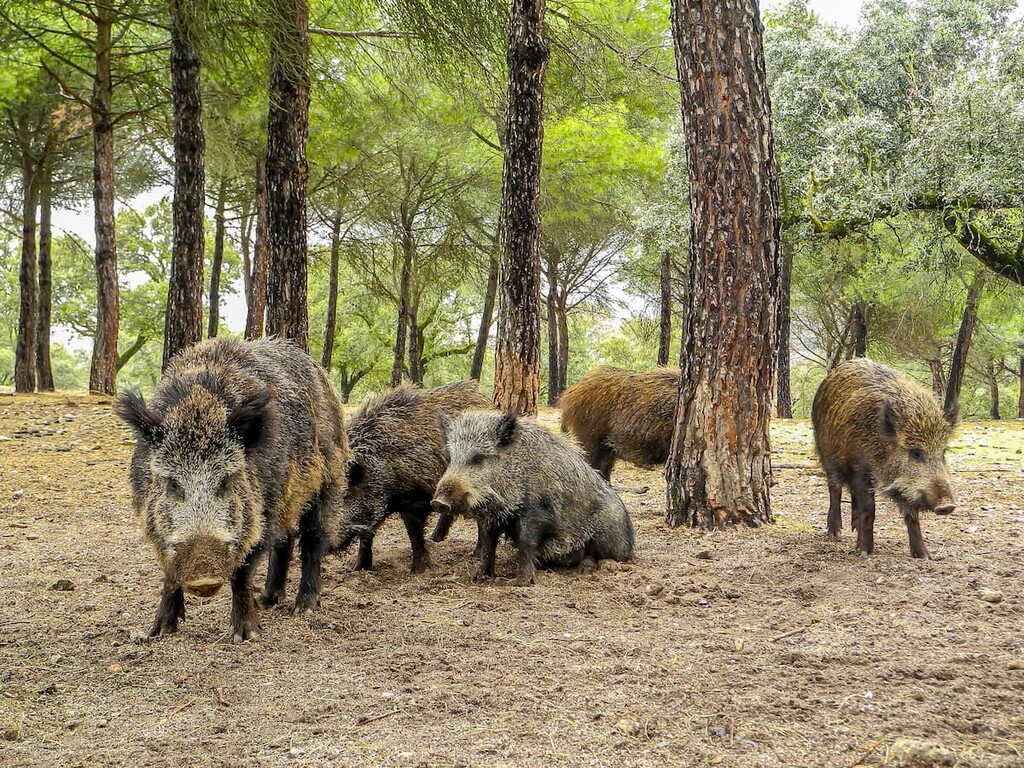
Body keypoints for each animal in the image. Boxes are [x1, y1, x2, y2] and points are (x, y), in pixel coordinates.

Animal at [116, 337, 350, 642]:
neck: (199, 407)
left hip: (328, 479)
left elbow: (243, 570)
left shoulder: (262, 511)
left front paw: (246, 635)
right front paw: (157, 632)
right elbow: (170, 572)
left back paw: (303, 608)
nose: (204, 577)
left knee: (312, 540)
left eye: (225, 481)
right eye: (172, 483)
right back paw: (268, 600)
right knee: (285, 539)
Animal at [333, 380, 492, 572]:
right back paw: (436, 539)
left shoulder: (416, 498)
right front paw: (358, 568)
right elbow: (367, 534)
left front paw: (419, 569)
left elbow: (413, 532)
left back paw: (476, 554)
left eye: (345, 495)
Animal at [431, 410, 634, 585]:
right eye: (450, 458)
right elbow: (488, 547)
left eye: (478, 458)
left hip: (608, 534)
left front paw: (516, 582)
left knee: (603, 556)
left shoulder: (537, 513)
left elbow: (525, 544)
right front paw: (480, 578)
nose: (438, 502)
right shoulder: (492, 519)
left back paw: (588, 568)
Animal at [812, 358, 957, 559]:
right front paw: (865, 552)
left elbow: (912, 516)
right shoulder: (860, 470)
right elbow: (869, 511)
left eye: (943, 452)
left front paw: (924, 556)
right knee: (835, 488)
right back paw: (836, 534)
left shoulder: (904, 486)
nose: (947, 506)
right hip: (826, 453)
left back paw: (854, 530)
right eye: (915, 452)